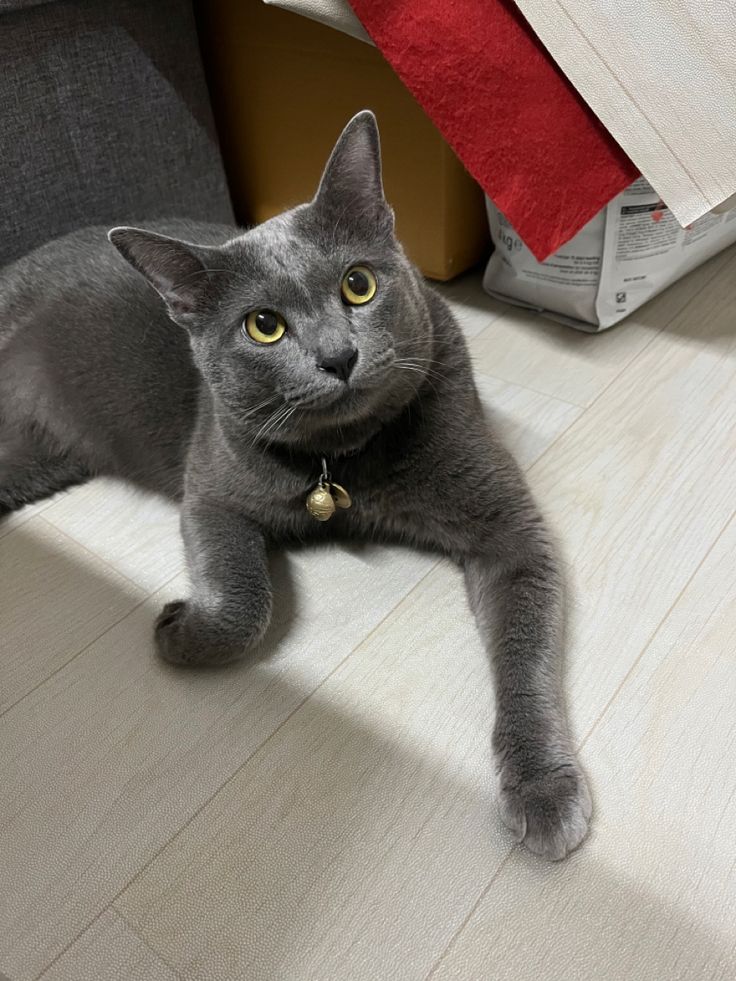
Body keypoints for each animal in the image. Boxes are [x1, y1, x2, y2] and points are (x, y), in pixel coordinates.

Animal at [0, 111, 588, 852]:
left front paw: (544, 788)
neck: (340, 463)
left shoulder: (508, 529)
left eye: (359, 285)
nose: (338, 356)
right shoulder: (211, 491)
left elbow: (526, 650)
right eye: (264, 326)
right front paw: (181, 625)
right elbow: (244, 605)